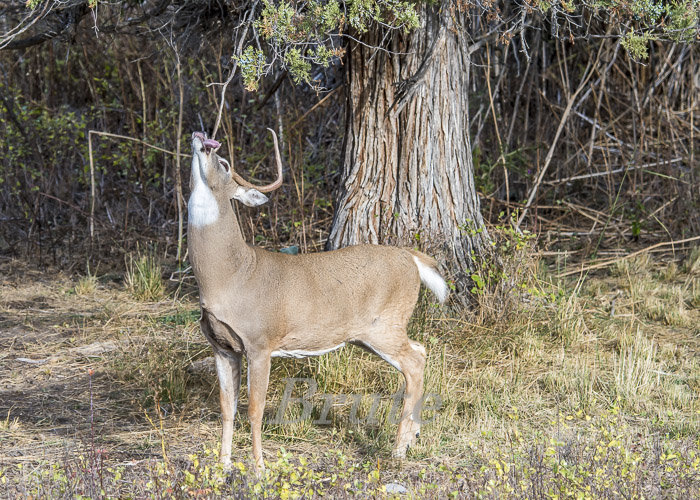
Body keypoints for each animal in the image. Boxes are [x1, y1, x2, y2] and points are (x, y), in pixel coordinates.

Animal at [187, 129, 448, 472]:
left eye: (225, 163)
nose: (202, 136)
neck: (230, 276)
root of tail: (412, 258)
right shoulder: (222, 347)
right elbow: (227, 409)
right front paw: (222, 468)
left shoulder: (261, 342)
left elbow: (255, 410)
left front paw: (259, 468)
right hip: (369, 333)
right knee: (420, 350)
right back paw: (412, 437)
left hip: (385, 324)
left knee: (415, 361)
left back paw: (399, 449)